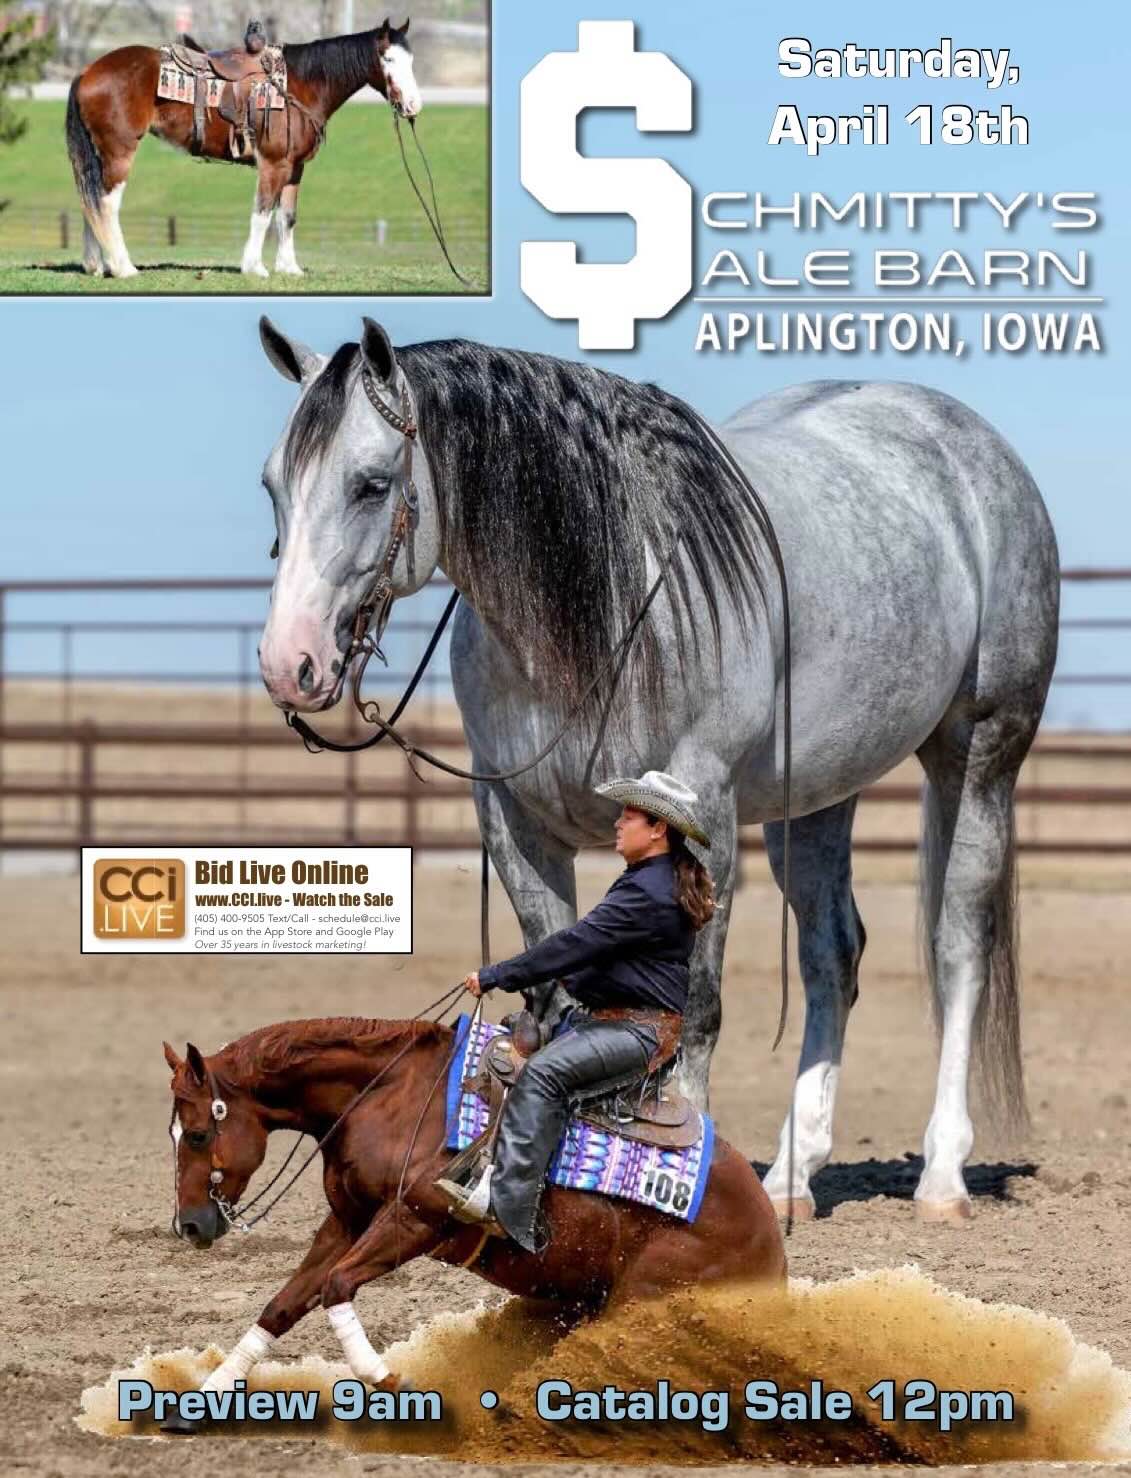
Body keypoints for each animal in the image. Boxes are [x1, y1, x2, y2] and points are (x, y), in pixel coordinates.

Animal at [64, 19, 420, 279]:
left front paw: (289, 268)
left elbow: (286, 217)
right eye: (388, 59)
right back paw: (123, 267)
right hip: (119, 152)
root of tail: (87, 71)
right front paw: (255, 267)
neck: (300, 84)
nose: (413, 106)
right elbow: (262, 213)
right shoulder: (273, 165)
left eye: (412, 60)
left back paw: (98, 265)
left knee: (90, 201)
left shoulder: (295, 168)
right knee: (106, 205)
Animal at [161, 1018, 786, 1424]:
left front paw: (389, 1378)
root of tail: (772, 1247)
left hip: (647, 1302)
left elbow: (336, 1286)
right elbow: (284, 1304)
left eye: (197, 1135)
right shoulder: (346, 1222)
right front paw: (203, 1402)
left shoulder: (414, 1221)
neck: (391, 1094)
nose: (189, 1226)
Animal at [254, 316, 1060, 1225]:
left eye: (370, 484)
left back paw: (941, 1179)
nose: (289, 665)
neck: (603, 610)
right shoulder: (517, 829)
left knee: (957, 944)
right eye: (273, 485)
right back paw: (792, 1175)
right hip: (815, 798)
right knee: (831, 953)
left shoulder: (702, 820)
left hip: (979, 755)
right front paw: (504, 1186)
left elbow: (697, 1013)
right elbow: (549, 1008)